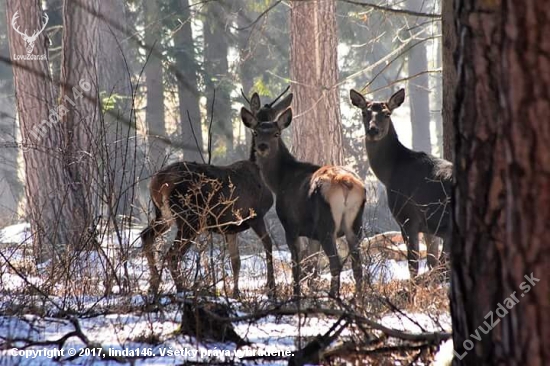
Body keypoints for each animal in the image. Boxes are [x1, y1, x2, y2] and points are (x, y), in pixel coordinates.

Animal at [142, 90, 296, 298]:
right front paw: (271, 288)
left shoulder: (231, 227)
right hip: (190, 216)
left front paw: (235, 293)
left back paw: (154, 285)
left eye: (275, 132)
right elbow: (268, 245)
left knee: (146, 237)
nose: (262, 146)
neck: (261, 174)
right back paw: (182, 289)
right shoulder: (255, 214)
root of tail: (158, 181)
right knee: (172, 254)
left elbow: (236, 261)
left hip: (163, 214)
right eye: (256, 131)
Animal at [240, 99, 366, 298]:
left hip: (327, 224)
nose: (262, 146)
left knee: (335, 263)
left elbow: (296, 265)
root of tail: (346, 184)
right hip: (355, 223)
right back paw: (357, 299)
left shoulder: (290, 225)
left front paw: (296, 295)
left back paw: (334, 297)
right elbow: (312, 264)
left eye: (276, 133)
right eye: (256, 132)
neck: (279, 181)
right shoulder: (313, 234)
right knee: (357, 265)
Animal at [352, 88, 454, 278]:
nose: (372, 130)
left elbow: (413, 266)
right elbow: (432, 262)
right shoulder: (429, 228)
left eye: (386, 114)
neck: (390, 173)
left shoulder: (407, 217)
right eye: (364, 112)